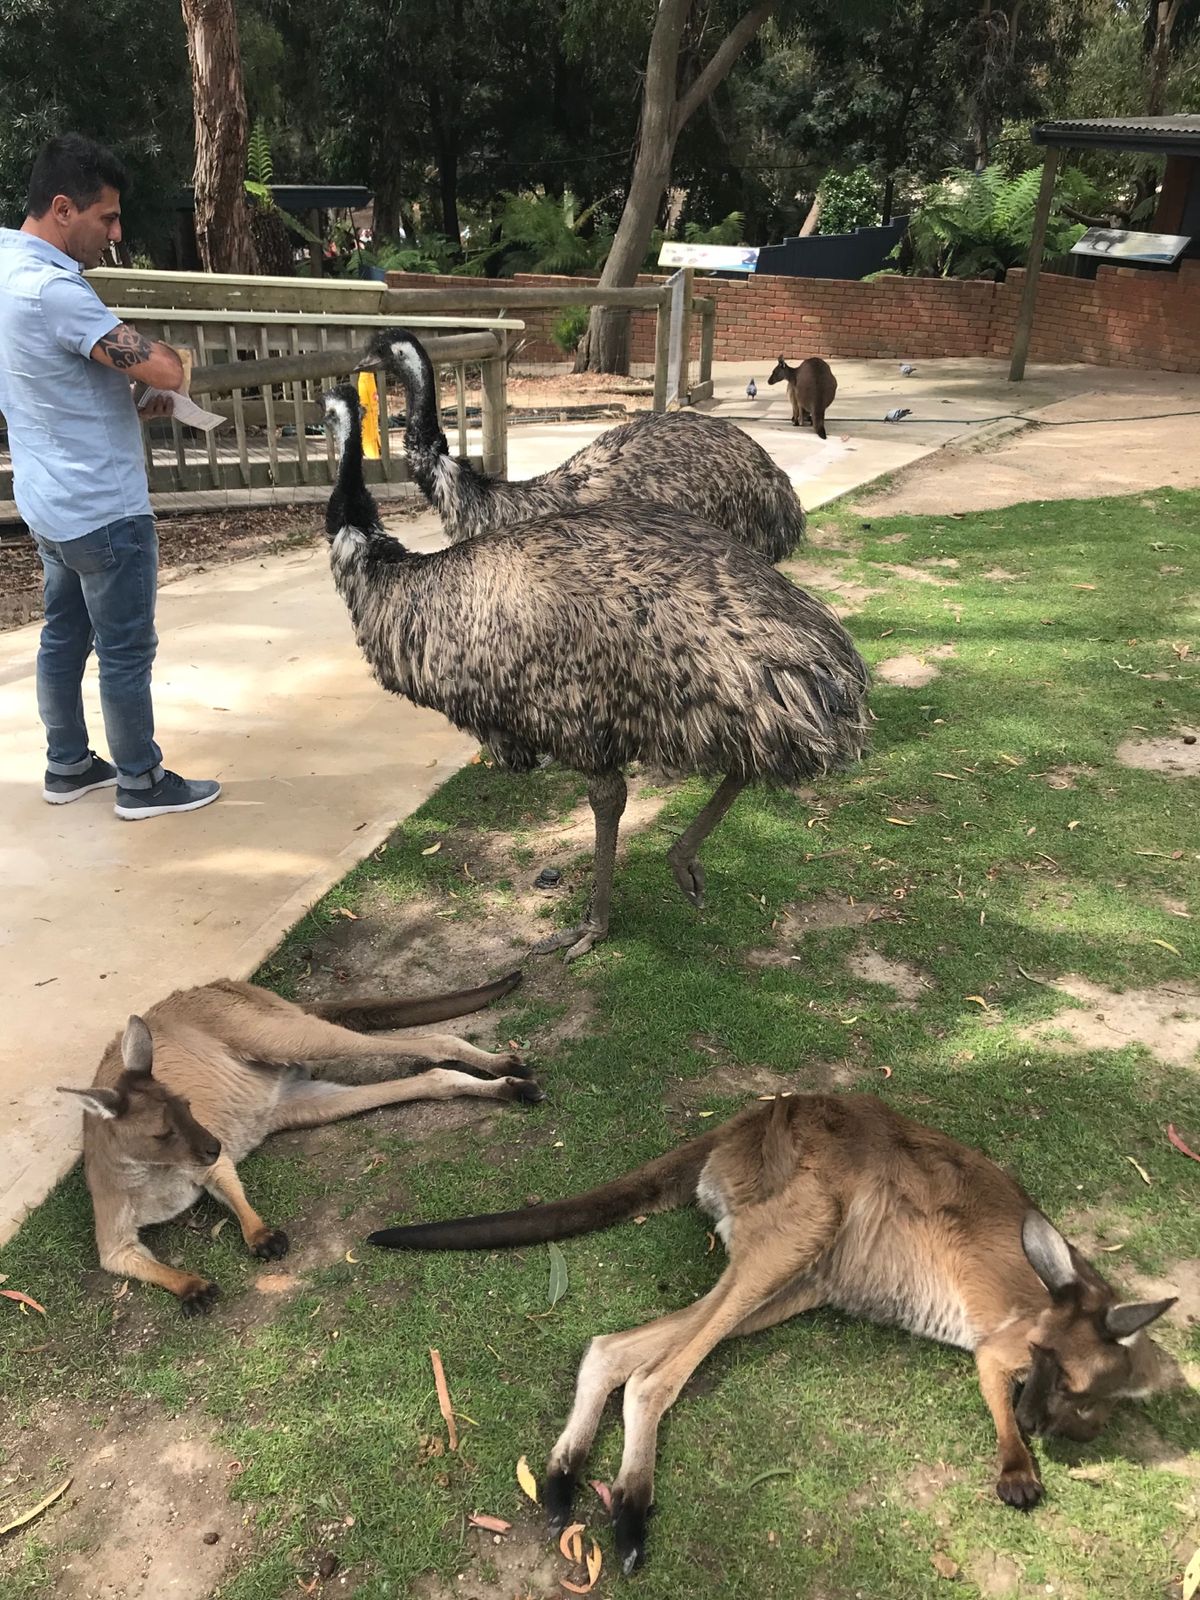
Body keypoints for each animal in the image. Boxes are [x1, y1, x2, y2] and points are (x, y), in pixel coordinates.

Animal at [59, 970, 542, 1315]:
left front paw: (259, 1234)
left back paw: (507, 1066)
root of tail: (225, 984)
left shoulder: (207, 1159)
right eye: (162, 1132)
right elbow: (120, 1258)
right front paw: (190, 1287)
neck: (158, 1176)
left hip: (270, 1035)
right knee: (433, 1077)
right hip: (297, 1103)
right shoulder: (114, 1216)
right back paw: (510, 1088)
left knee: (434, 1040)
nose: (214, 1144)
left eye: (188, 1106)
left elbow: (228, 1184)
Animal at [369, 1091, 1176, 1575]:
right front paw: (1018, 1467)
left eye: (1066, 1377)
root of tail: (761, 1112)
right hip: (804, 1223)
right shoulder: (1003, 1343)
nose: (1039, 1422)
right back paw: (629, 1517)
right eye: (1040, 1359)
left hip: (810, 1273)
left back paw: (568, 1481)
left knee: (614, 1349)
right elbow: (995, 1387)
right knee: (653, 1378)